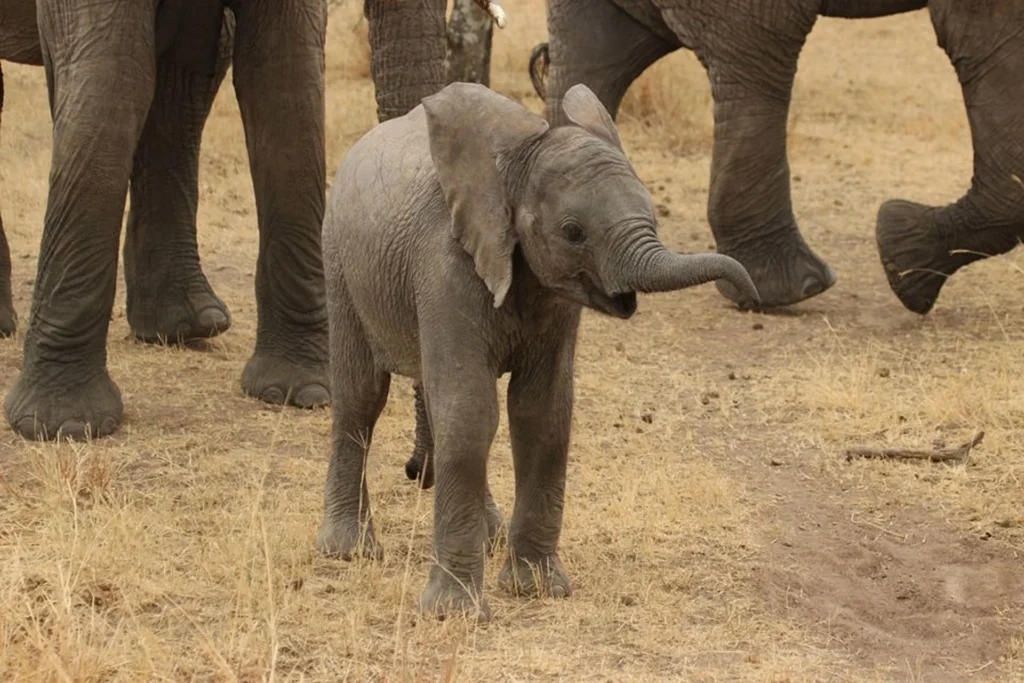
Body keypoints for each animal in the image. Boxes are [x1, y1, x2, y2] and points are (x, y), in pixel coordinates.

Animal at [0, 0, 472, 441]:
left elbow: (284, 82)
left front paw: (302, 392)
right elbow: (111, 80)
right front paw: (64, 425)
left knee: (178, 89)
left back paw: (187, 323)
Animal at [315, 81, 759, 621]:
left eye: (653, 213)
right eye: (573, 232)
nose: (750, 293)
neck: (514, 168)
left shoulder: (554, 299)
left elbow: (540, 414)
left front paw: (539, 589)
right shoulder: (445, 266)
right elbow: (471, 412)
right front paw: (454, 614)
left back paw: (490, 536)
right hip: (340, 261)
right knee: (361, 397)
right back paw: (347, 550)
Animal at [526, 0, 1024, 314]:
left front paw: (904, 258)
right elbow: (994, 44)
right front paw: (904, 259)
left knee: (595, 58)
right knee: (759, 63)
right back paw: (792, 292)